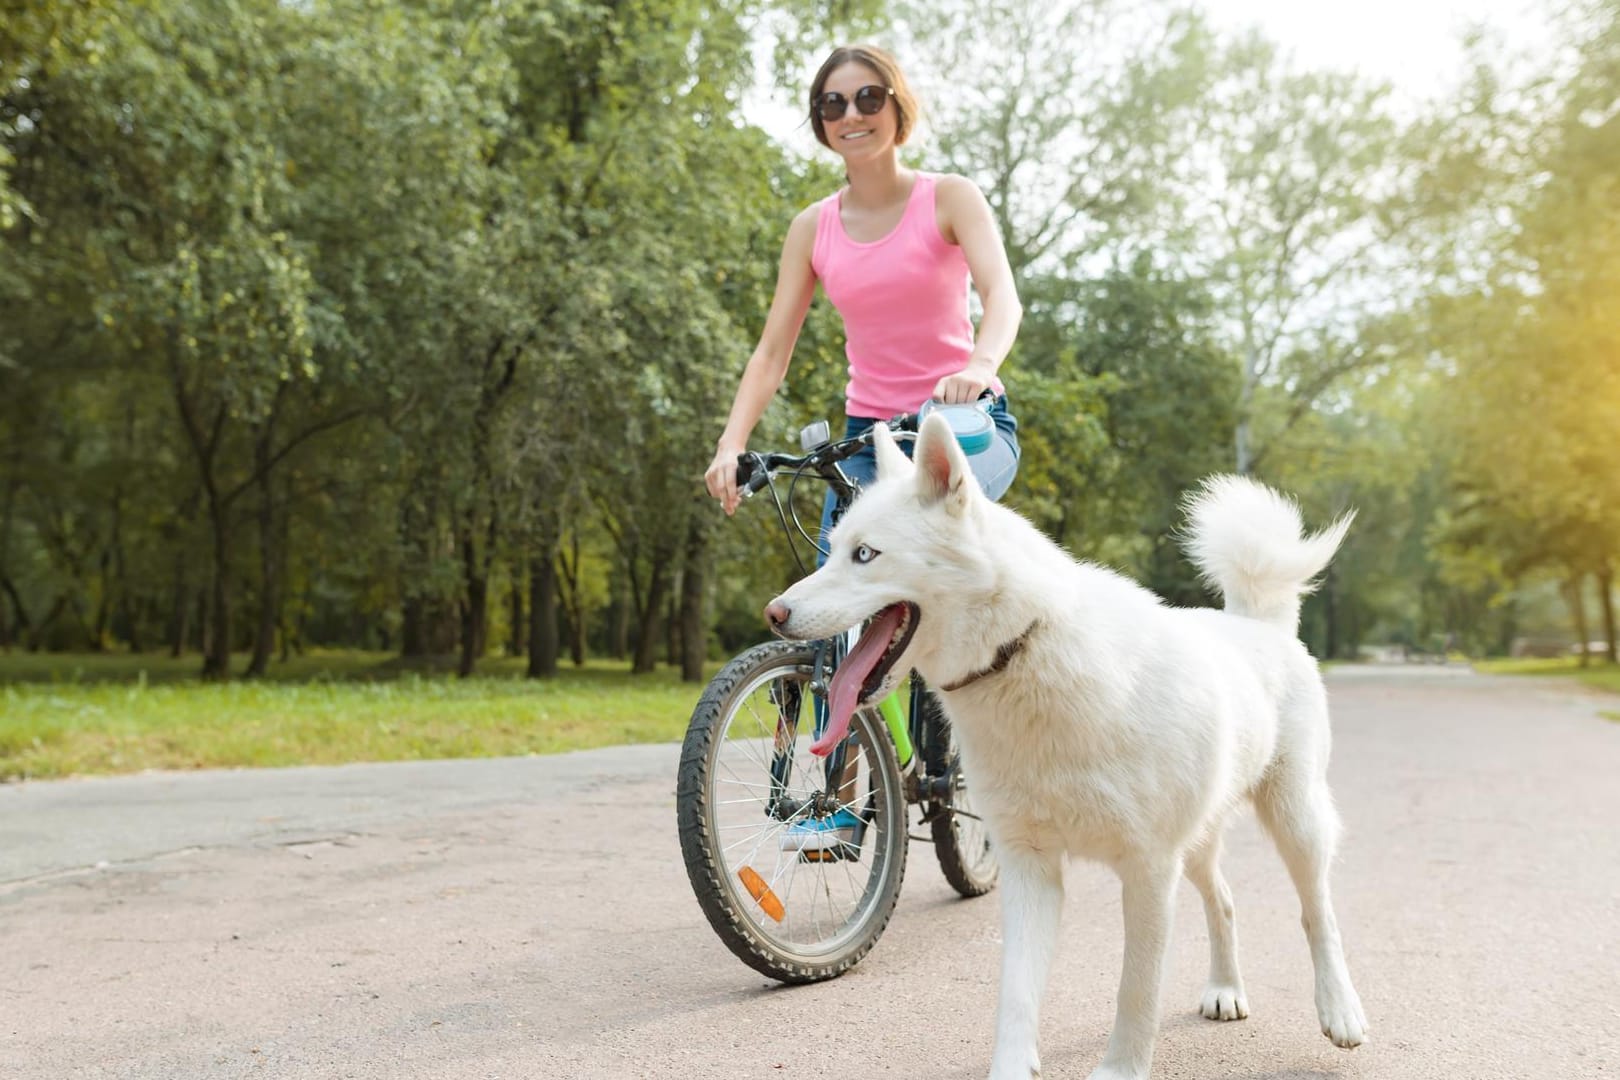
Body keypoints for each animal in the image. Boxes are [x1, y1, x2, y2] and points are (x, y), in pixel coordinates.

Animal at [767, 417, 1367, 1080]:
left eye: (865, 554)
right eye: (834, 549)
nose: (774, 613)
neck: (1021, 651)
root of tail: (1259, 622)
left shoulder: (1149, 869)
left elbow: (1137, 990)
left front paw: (1120, 1070)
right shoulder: (1031, 868)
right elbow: (1017, 993)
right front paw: (1011, 1067)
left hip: (1294, 820)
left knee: (1318, 914)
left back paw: (1340, 1011)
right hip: (1199, 842)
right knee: (1226, 901)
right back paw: (1225, 991)